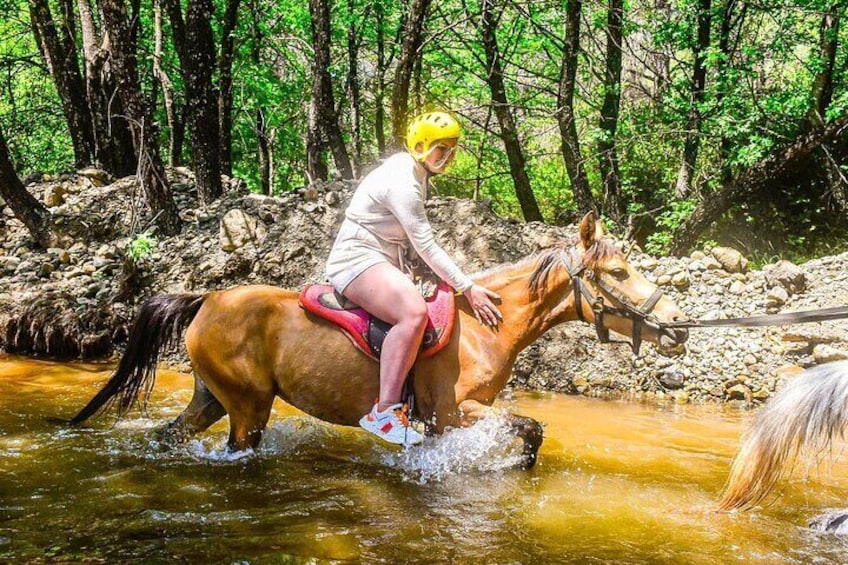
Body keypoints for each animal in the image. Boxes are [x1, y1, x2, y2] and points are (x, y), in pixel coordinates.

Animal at [68, 214, 688, 464]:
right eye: (617, 272)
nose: (678, 326)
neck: (485, 327)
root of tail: (206, 300)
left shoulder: (451, 419)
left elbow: (528, 434)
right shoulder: (453, 411)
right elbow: (531, 429)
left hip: (211, 398)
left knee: (169, 435)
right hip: (247, 408)